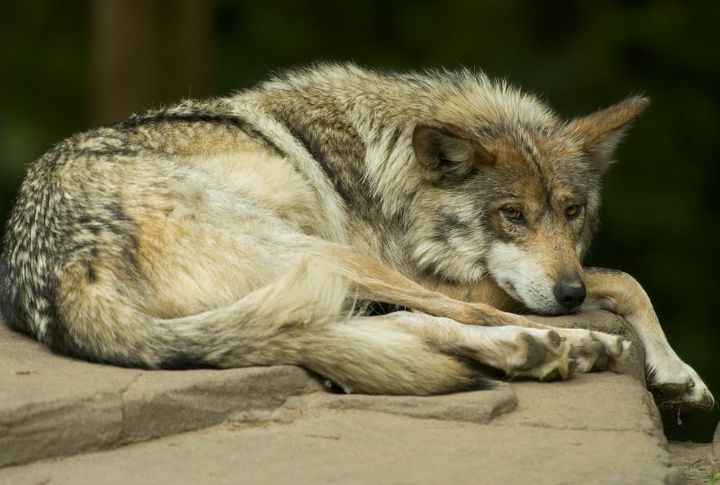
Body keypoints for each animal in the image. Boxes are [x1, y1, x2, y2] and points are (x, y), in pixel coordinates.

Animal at [0, 64, 713, 408]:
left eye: (571, 211)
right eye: (511, 214)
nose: (566, 295)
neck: (388, 169)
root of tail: (63, 270)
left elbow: (624, 280)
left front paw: (678, 374)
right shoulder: (440, 274)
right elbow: (621, 277)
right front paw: (672, 368)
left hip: (318, 280)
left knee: (387, 329)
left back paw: (535, 350)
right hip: (329, 255)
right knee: (456, 316)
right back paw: (569, 345)